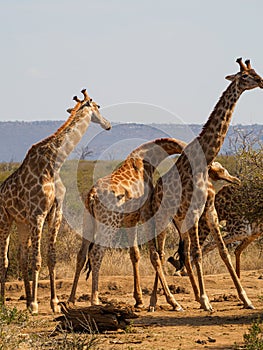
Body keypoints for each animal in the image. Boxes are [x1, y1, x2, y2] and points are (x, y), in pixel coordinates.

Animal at [0, 89, 111, 314]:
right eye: (98, 106)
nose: (108, 124)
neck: (55, 162)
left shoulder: (55, 213)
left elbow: (51, 258)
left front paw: (54, 303)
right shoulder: (38, 213)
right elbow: (37, 260)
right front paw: (35, 305)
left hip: (21, 223)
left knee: (21, 257)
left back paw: (25, 300)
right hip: (5, 219)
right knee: (4, 259)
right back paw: (4, 304)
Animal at [68, 137, 188, 306]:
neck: (147, 161)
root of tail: (92, 195)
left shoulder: (131, 220)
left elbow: (134, 254)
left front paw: (139, 299)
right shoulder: (146, 214)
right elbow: (154, 255)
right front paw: (172, 302)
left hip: (88, 222)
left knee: (81, 254)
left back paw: (71, 299)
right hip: (109, 223)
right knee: (97, 253)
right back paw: (95, 299)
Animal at [146, 58, 263, 312]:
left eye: (255, 71)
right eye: (245, 76)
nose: (261, 81)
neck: (205, 160)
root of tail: (153, 193)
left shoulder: (209, 210)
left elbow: (222, 252)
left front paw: (245, 299)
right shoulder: (194, 211)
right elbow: (199, 253)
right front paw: (206, 300)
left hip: (179, 222)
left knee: (179, 253)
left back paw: (178, 298)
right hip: (163, 219)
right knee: (157, 254)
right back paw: (161, 302)